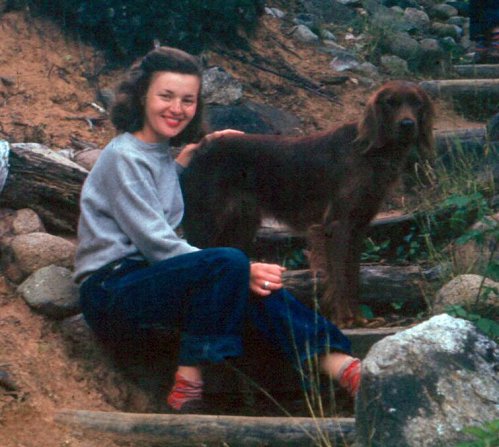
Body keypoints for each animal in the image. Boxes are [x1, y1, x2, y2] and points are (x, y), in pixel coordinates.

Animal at [181, 79, 434, 326]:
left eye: (417, 103)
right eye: (391, 102)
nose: (407, 124)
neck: (369, 152)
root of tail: (200, 148)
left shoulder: (358, 227)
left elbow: (353, 276)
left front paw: (361, 319)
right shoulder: (337, 225)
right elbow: (339, 277)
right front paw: (345, 319)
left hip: (241, 226)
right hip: (206, 224)